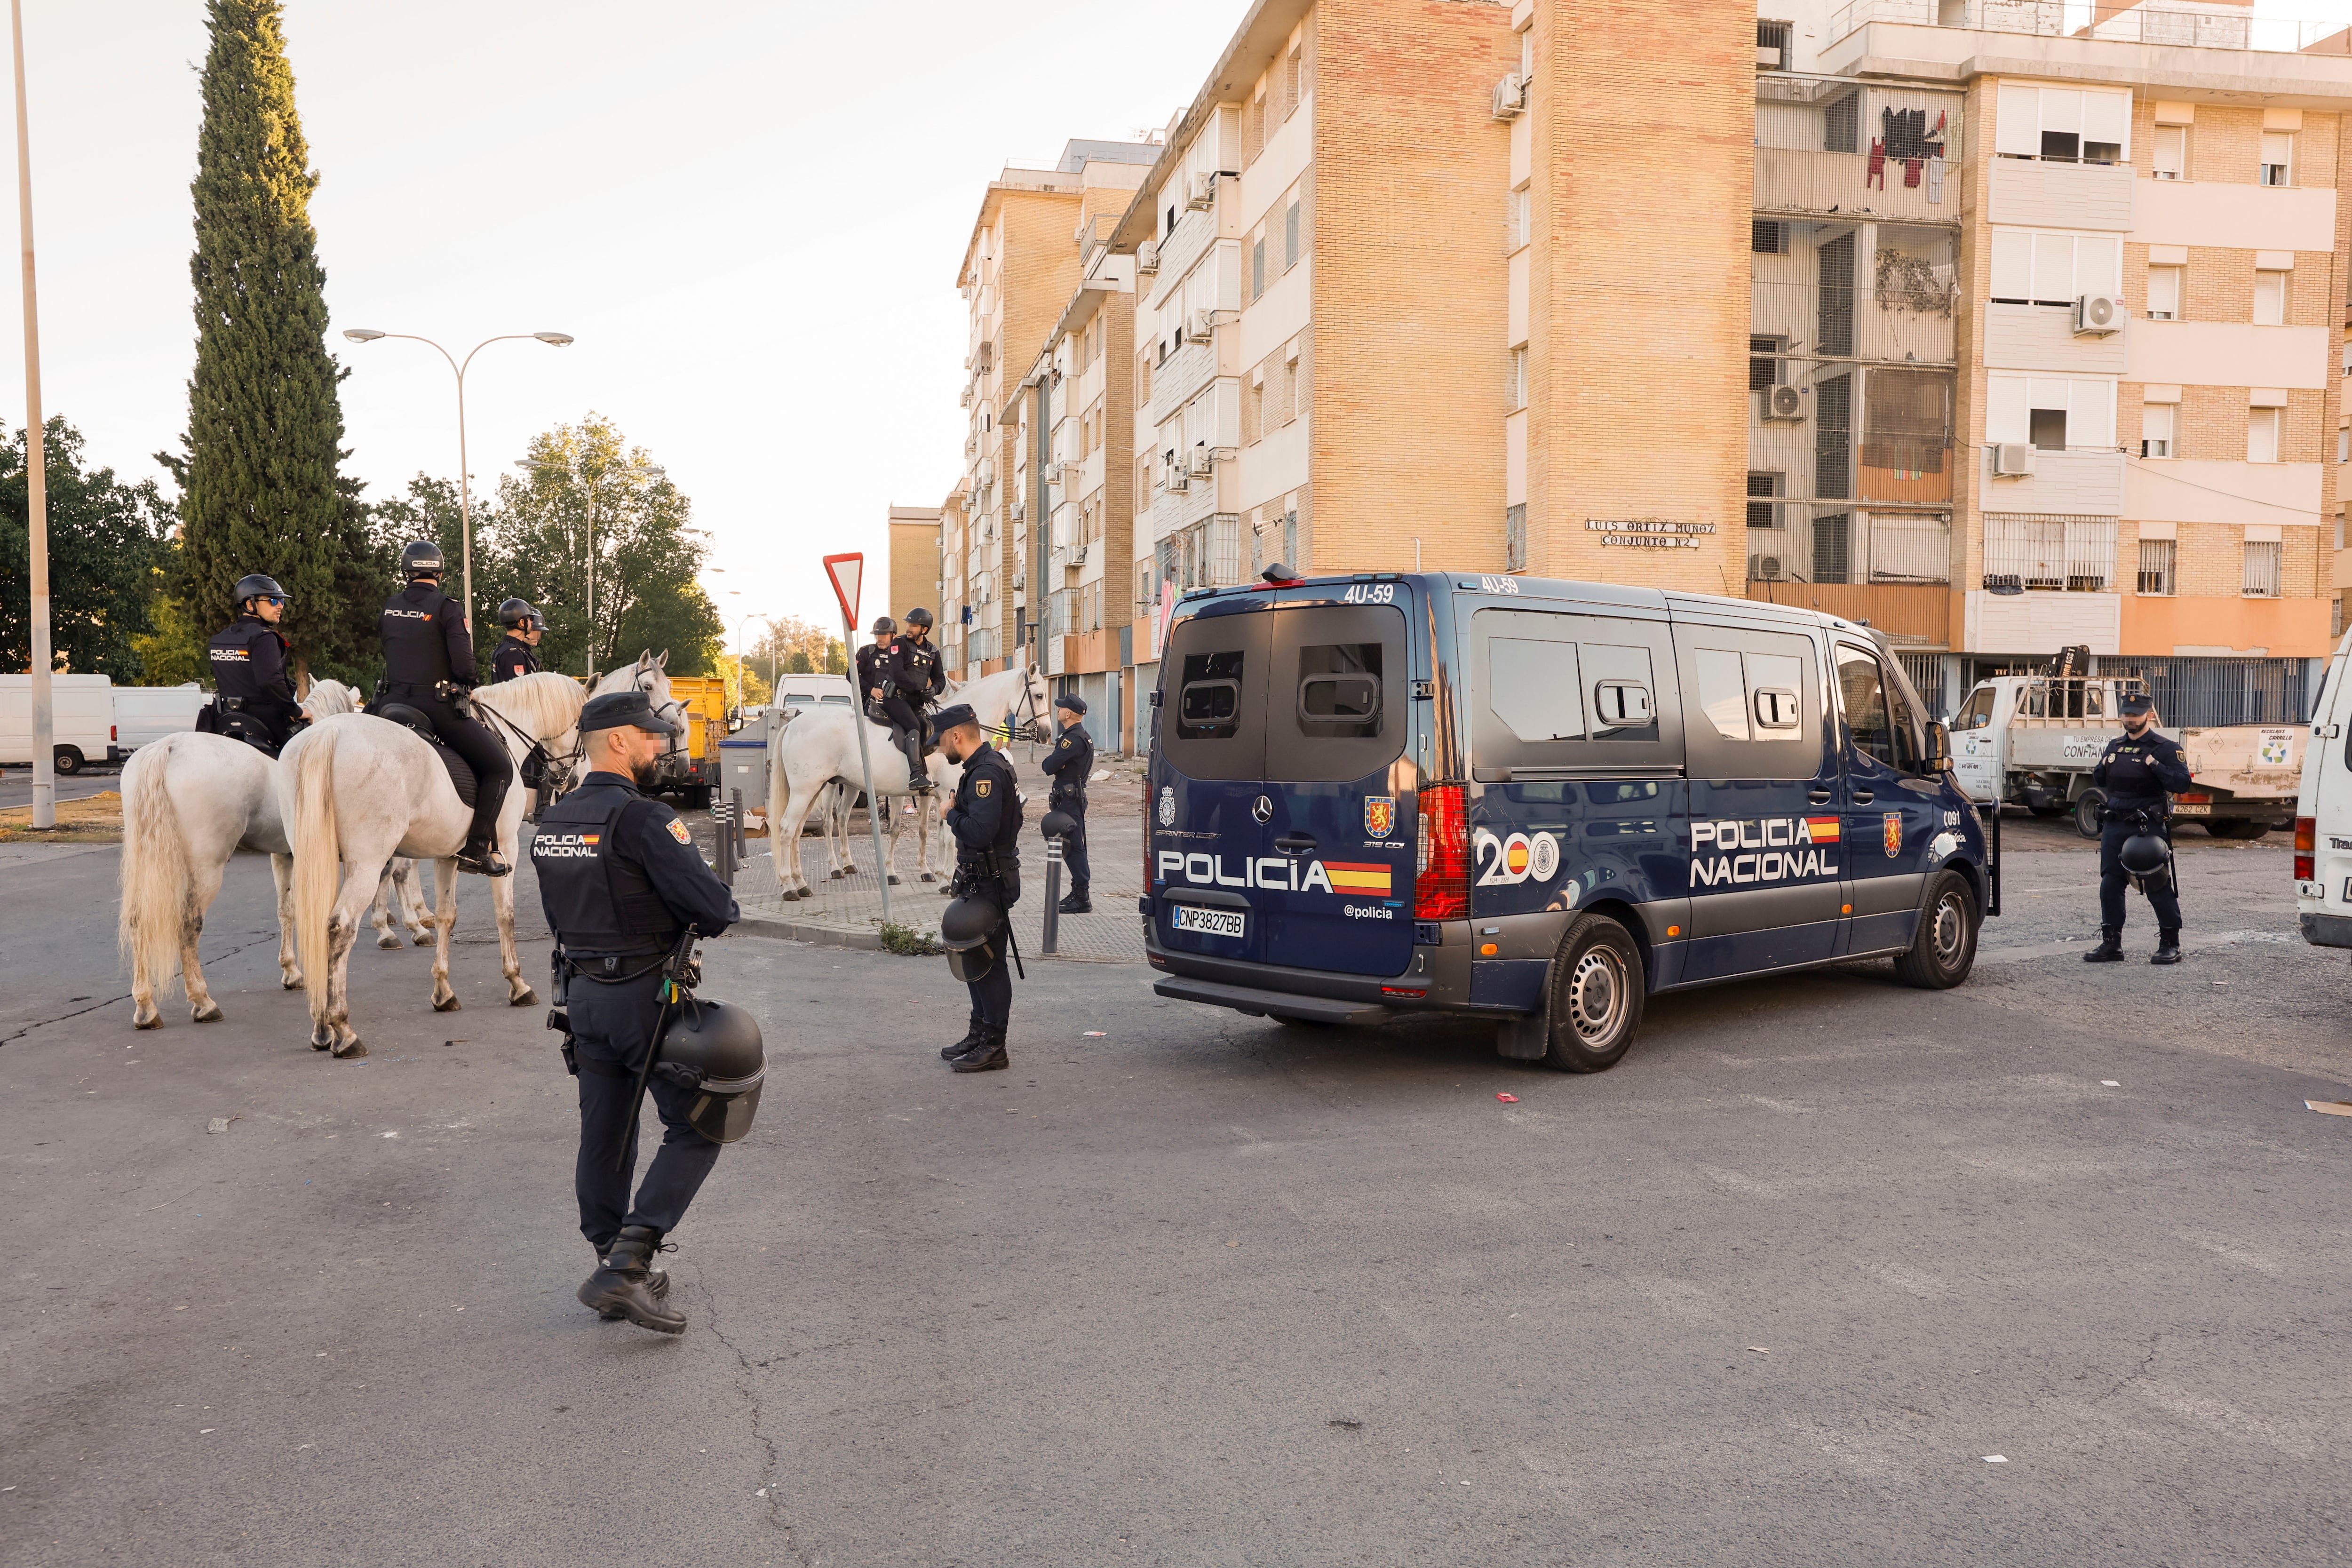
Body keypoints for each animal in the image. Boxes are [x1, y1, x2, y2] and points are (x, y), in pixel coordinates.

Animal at [118, 677, 365, 1029]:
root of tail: (168, 748)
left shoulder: (283, 855)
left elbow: (286, 910)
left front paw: (291, 971)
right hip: (206, 868)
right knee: (189, 924)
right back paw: (203, 1001)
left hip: (145, 862)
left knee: (138, 919)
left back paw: (145, 1006)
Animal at [283, 668, 588, 1062]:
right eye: (581, 724)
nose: (571, 778)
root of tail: (328, 733)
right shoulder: (507, 848)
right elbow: (505, 916)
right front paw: (517, 983)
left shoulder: (449, 855)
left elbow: (447, 916)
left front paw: (443, 990)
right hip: (365, 862)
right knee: (340, 927)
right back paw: (343, 1029)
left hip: (311, 858)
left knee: (310, 919)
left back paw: (321, 1026)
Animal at [762, 663, 1049, 902]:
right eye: (1039, 696)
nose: (1046, 734)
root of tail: (794, 723)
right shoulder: (946, 795)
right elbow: (948, 838)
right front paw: (947, 881)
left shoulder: (938, 797)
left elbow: (936, 834)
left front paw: (939, 875)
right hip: (809, 791)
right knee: (792, 829)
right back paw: (791, 885)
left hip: (815, 791)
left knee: (801, 830)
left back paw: (802, 883)